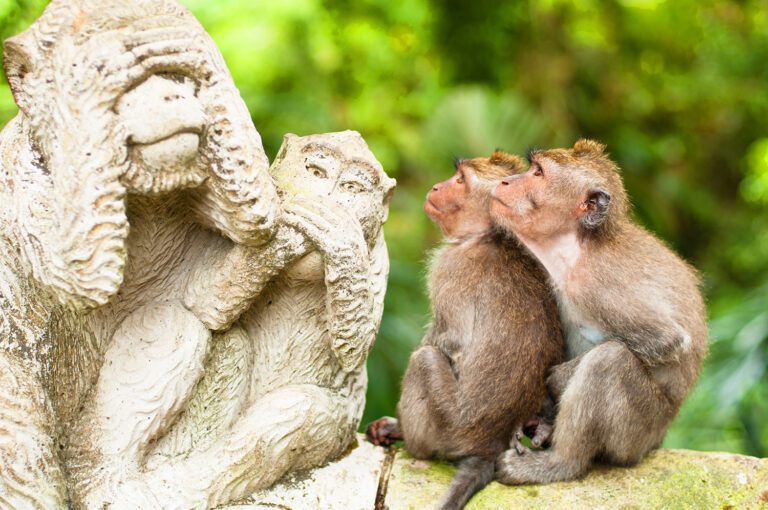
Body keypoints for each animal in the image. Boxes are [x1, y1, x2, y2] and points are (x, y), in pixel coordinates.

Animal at [367, 153, 564, 510]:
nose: (436, 186)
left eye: (460, 180)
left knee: (425, 360)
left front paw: (395, 424)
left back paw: (410, 439)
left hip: (448, 426)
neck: (487, 235)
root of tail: (488, 444)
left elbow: (450, 340)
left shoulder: (450, 267)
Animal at [490, 139, 708, 485]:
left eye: (538, 173)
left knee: (609, 361)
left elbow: (667, 340)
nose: (506, 182)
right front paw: (542, 417)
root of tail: (657, 440)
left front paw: (556, 381)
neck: (576, 247)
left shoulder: (595, 282)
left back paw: (559, 464)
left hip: (638, 433)